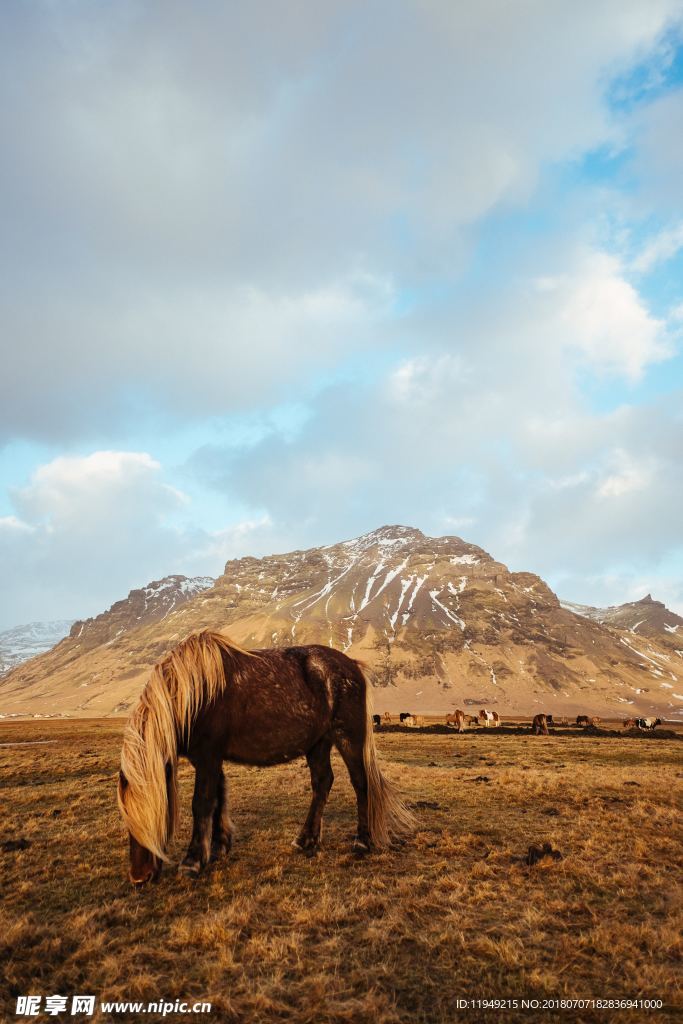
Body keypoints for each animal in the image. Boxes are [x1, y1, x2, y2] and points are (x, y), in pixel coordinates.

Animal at [118, 626, 413, 884]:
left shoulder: (208, 757)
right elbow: (218, 798)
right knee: (322, 783)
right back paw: (306, 840)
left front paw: (192, 862)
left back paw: (361, 842)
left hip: (347, 738)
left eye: (152, 813)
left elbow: (202, 803)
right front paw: (219, 847)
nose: (139, 878)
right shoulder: (212, 759)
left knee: (360, 783)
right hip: (318, 743)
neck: (194, 695)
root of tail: (352, 666)